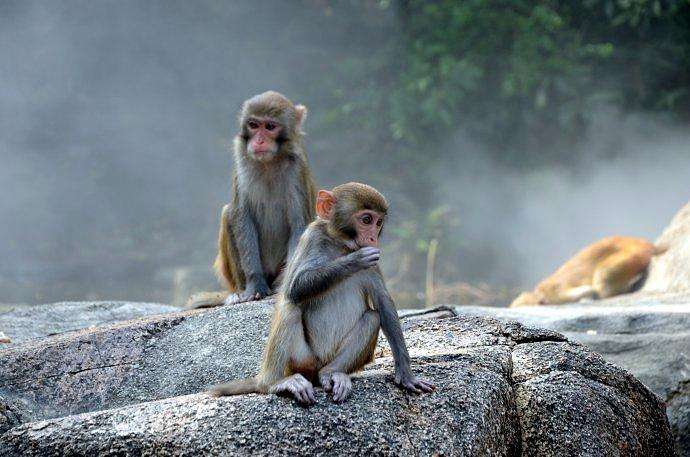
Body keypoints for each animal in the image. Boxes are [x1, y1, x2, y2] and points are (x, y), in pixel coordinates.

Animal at [188, 91, 318, 308]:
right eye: (253, 125)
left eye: (270, 127)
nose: (259, 141)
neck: (269, 163)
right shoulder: (241, 165)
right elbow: (241, 216)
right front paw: (254, 284)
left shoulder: (297, 170)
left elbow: (300, 224)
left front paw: (284, 287)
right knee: (228, 214)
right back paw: (237, 293)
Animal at [212, 182, 432, 402]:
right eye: (366, 220)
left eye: (379, 223)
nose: (372, 238)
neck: (339, 244)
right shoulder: (312, 237)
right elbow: (294, 287)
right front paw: (355, 260)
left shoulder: (374, 264)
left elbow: (383, 303)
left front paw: (406, 374)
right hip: (301, 361)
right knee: (290, 308)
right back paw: (274, 382)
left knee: (372, 317)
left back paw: (331, 373)